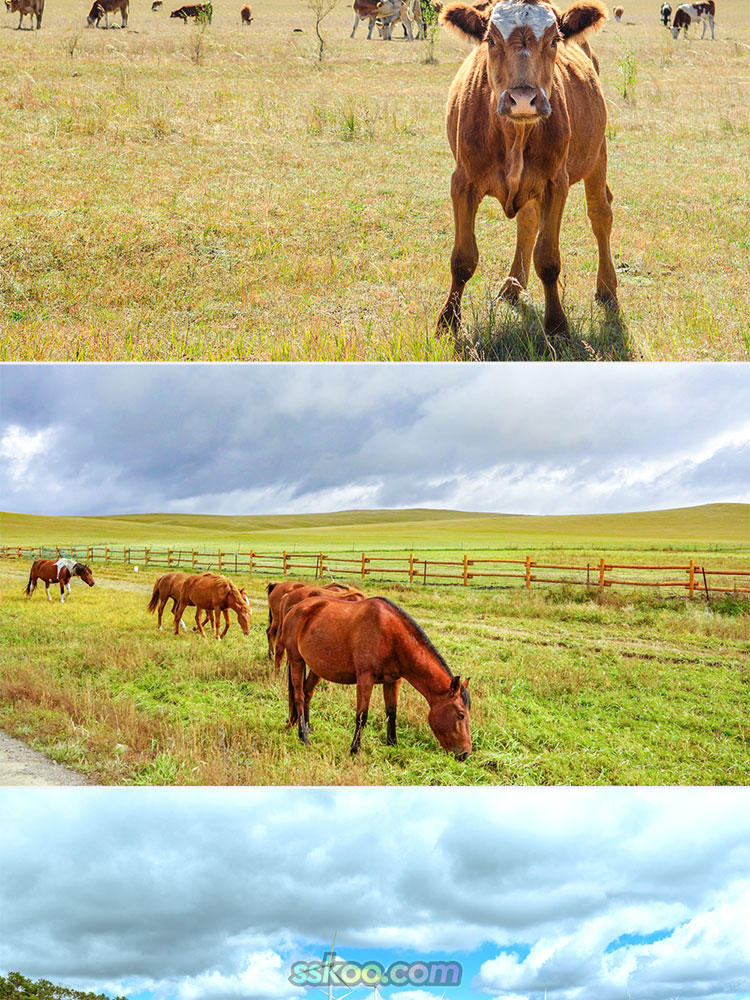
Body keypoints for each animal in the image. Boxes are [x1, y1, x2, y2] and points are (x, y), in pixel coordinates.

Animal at [276, 592, 472, 756]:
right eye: (461, 714)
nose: (465, 754)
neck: (391, 636)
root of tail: (294, 608)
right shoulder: (365, 679)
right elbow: (362, 716)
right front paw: (354, 750)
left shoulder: (393, 681)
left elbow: (392, 712)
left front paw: (392, 743)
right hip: (296, 661)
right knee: (299, 697)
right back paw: (303, 738)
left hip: (316, 667)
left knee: (308, 693)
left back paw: (307, 729)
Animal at [438, 0, 620, 338]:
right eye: (490, 40)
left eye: (554, 41)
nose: (523, 99)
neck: (514, 135)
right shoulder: (462, 182)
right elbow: (463, 258)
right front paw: (447, 321)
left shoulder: (555, 183)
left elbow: (548, 258)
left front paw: (557, 325)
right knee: (528, 220)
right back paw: (512, 286)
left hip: (597, 153)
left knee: (601, 214)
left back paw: (607, 288)